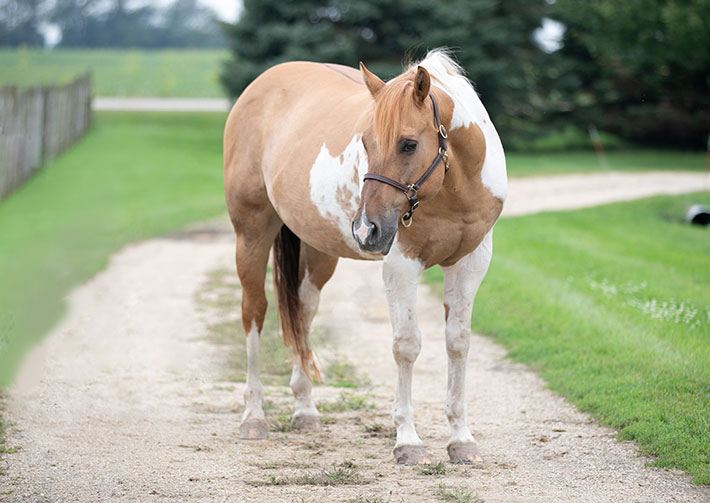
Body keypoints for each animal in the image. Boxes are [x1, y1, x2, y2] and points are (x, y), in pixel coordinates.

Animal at [223, 49, 507, 465]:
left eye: (408, 144)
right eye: (367, 143)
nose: (365, 230)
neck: (456, 187)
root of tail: (261, 84)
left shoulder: (470, 263)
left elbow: (458, 343)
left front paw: (461, 440)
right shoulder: (401, 265)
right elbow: (407, 345)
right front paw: (407, 440)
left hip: (318, 252)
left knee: (302, 314)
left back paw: (305, 411)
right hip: (252, 235)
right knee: (254, 313)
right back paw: (253, 417)